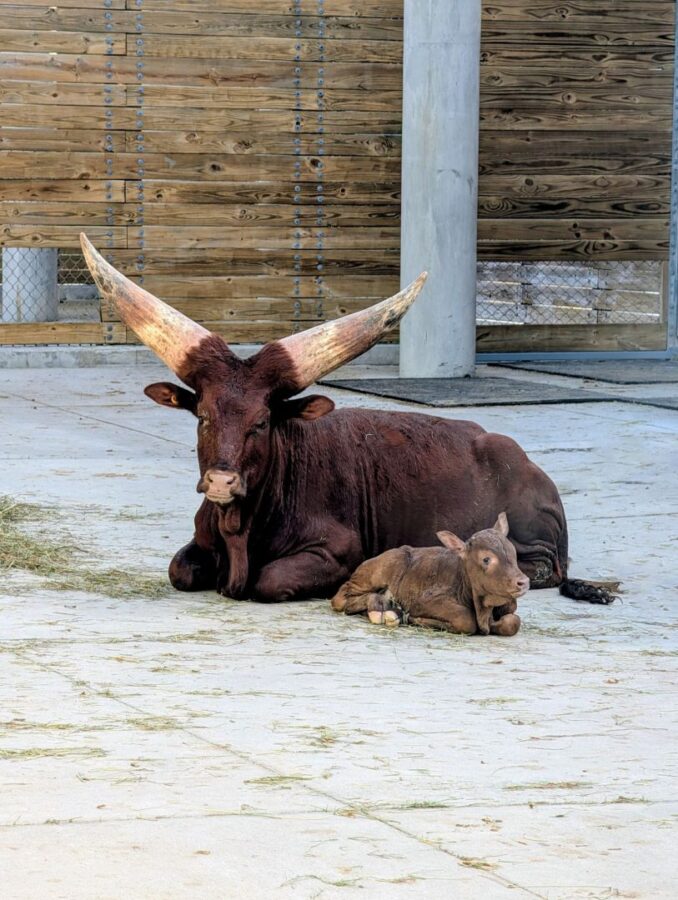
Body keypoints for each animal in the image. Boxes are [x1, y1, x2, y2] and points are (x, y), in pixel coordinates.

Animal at [80, 234, 615, 607]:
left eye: (262, 422)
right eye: (204, 417)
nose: (220, 482)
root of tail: (523, 461)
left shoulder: (336, 550)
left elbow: (268, 579)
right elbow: (180, 569)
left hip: (533, 542)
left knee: (545, 569)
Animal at [330, 513, 525, 637]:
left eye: (513, 553)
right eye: (486, 559)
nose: (523, 581)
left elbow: (513, 622)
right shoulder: (423, 601)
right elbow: (465, 619)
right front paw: (414, 619)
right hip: (378, 571)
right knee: (341, 598)